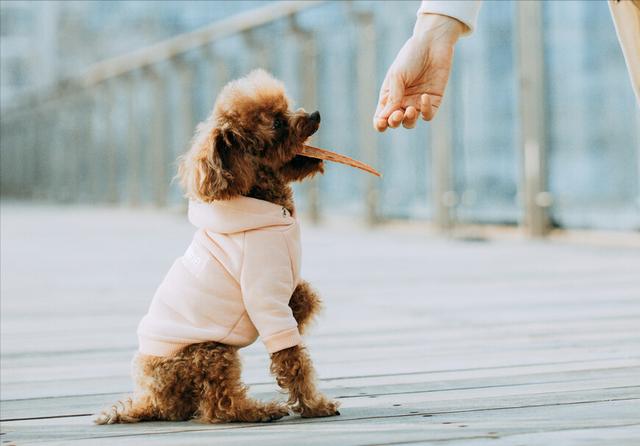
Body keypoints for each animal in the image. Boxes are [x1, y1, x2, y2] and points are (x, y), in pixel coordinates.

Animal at [95, 69, 340, 426]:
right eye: (277, 123)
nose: (316, 115)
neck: (265, 205)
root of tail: (152, 398)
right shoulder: (265, 297)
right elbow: (292, 359)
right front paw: (314, 405)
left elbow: (306, 296)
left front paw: (302, 307)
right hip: (209, 353)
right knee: (218, 406)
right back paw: (259, 410)